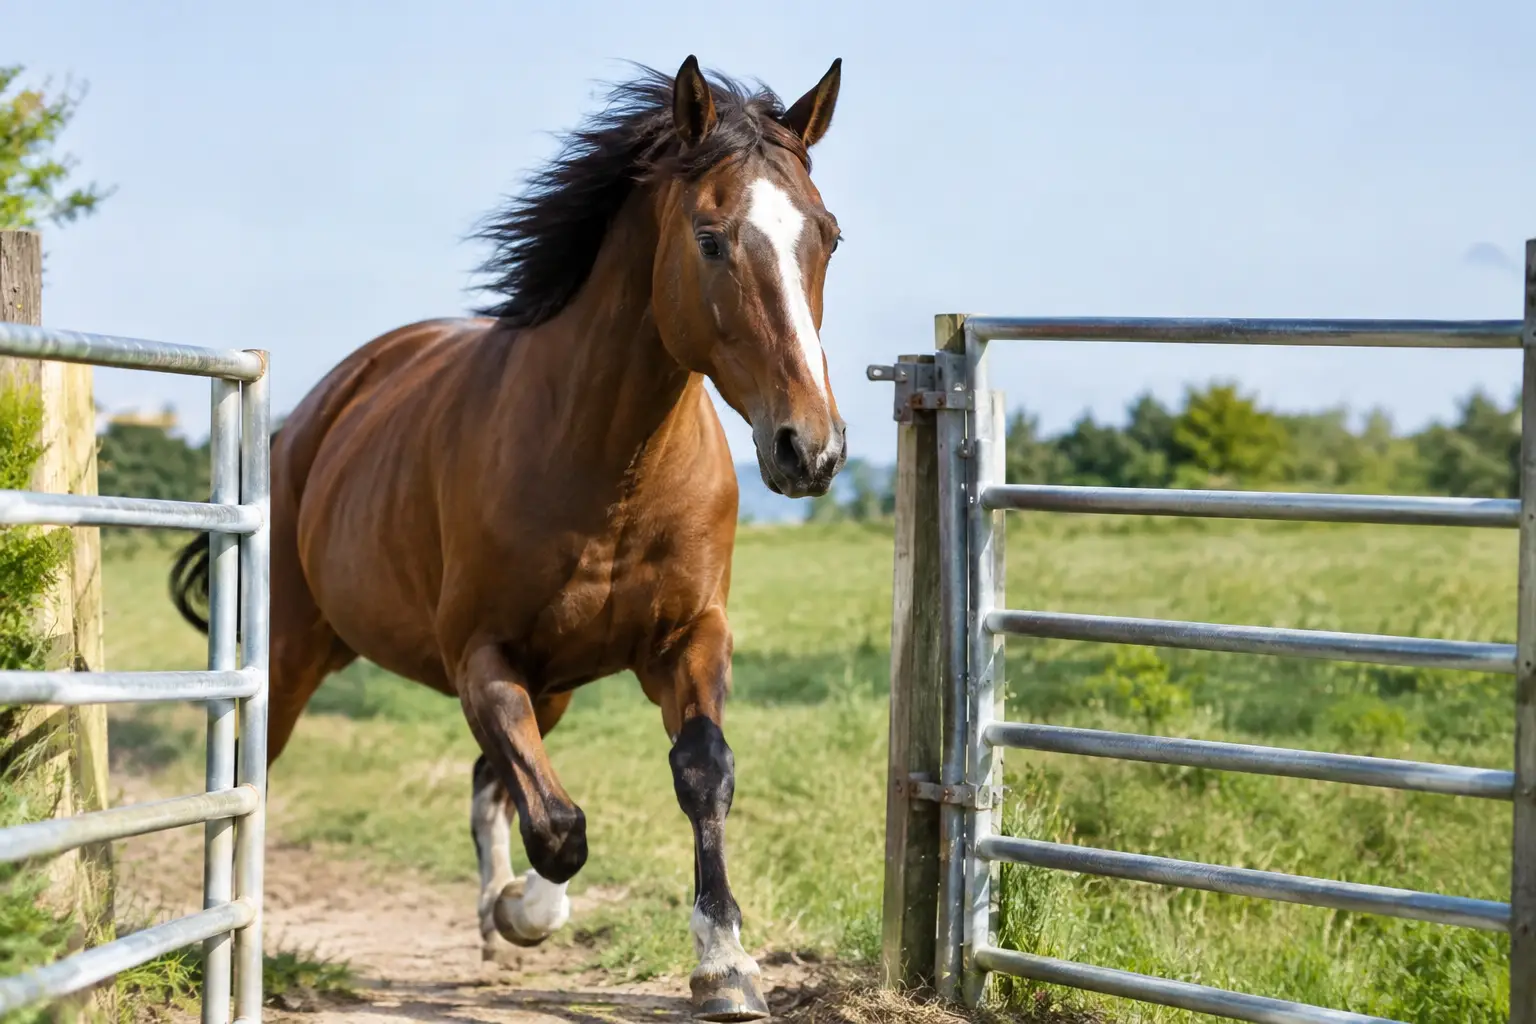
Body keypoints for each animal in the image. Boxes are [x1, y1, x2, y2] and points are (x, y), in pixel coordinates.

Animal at [167, 55, 847, 1021]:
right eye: (712, 239)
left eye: (826, 236)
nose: (809, 449)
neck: (609, 462)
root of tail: (310, 417)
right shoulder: (482, 656)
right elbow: (559, 828)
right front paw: (528, 910)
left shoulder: (685, 639)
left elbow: (699, 771)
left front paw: (725, 964)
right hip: (296, 650)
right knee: (252, 769)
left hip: (549, 683)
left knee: (493, 776)